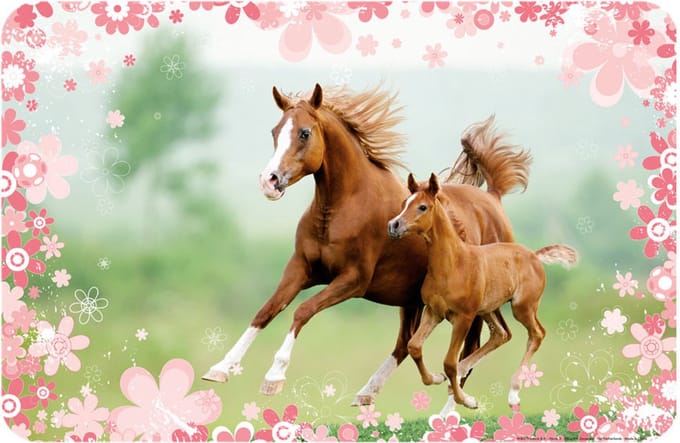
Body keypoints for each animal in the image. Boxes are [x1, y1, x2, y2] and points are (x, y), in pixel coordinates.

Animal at [203, 83, 532, 406]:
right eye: (275, 131)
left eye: (304, 132)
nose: (269, 181)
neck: (343, 208)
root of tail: (493, 198)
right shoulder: (301, 269)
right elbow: (266, 311)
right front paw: (220, 368)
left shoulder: (353, 280)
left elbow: (302, 311)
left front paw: (274, 376)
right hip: (412, 299)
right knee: (405, 344)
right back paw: (368, 392)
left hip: (473, 306)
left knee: (470, 351)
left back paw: (451, 409)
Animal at [388, 172, 577, 415]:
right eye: (404, 203)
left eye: (422, 206)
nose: (394, 225)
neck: (453, 264)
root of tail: (534, 255)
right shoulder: (434, 312)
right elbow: (414, 346)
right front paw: (437, 378)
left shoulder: (464, 317)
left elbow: (449, 362)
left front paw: (468, 400)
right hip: (488, 309)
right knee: (501, 334)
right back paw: (461, 373)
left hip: (522, 307)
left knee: (537, 334)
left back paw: (513, 394)